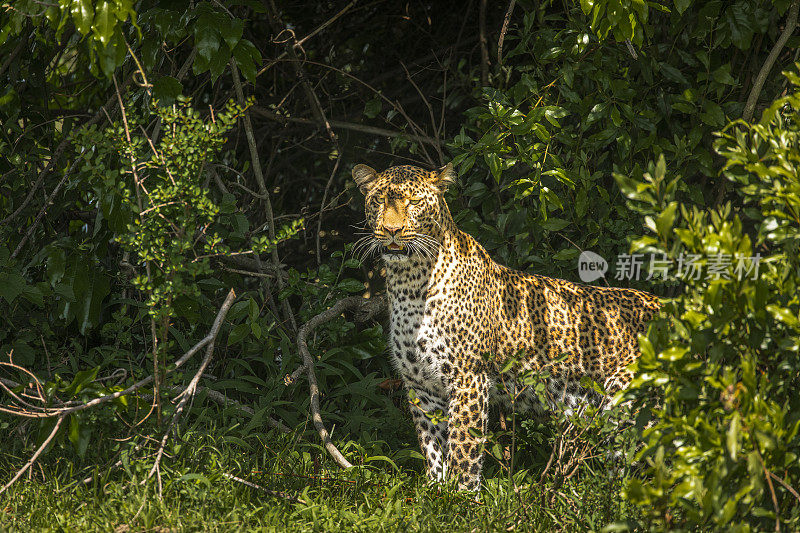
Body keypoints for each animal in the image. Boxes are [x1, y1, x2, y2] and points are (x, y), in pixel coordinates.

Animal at [354, 161, 660, 490]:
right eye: (378, 201)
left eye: (412, 202)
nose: (391, 230)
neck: (408, 284)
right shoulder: (421, 387)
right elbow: (433, 446)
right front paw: (436, 490)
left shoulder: (467, 378)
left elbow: (463, 447)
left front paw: (462, 495)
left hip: (629, 404)